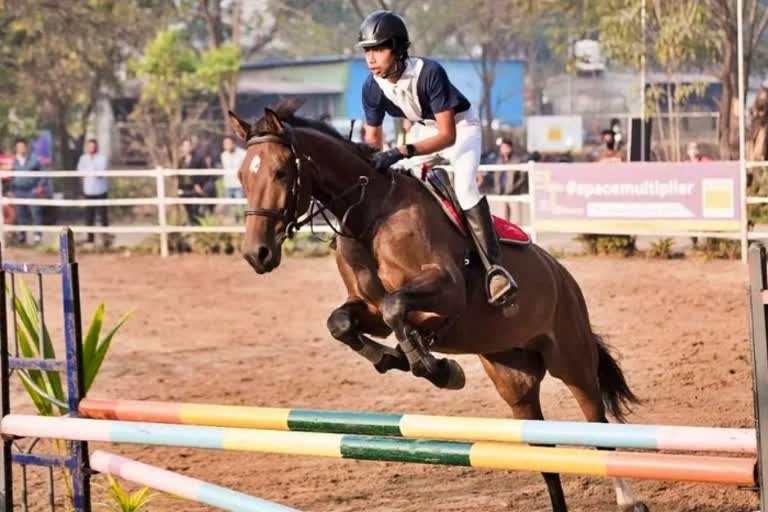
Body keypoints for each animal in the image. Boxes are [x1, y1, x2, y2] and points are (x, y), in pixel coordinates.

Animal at [228, 103, 648, 512]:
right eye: (242, 176)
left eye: (281, 172)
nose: (256, 254)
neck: (371, 217)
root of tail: (562, 275)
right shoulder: (369, 310)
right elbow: (342, 322)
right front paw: (398, 358)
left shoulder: (446, 294)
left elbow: (397, 306)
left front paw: (437, 367)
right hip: (514, 378)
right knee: (542, 452)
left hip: (571, 360)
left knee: (597, 423)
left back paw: (629, 500)